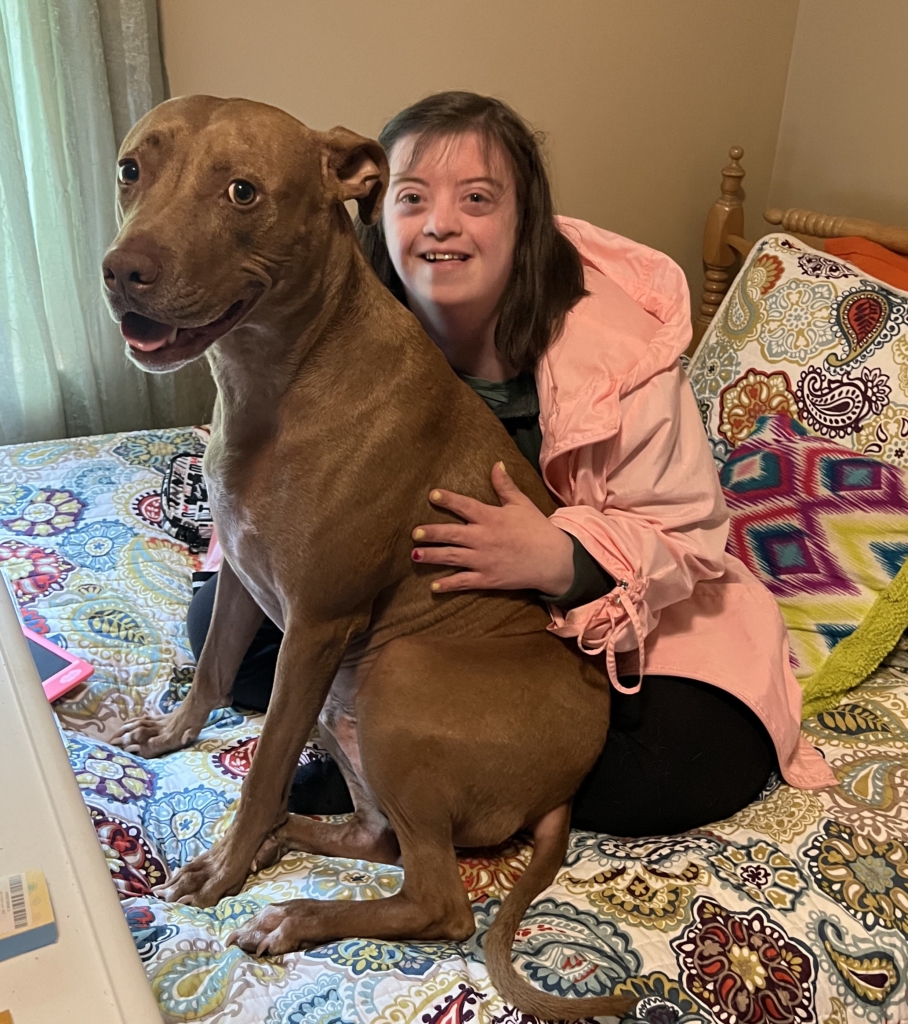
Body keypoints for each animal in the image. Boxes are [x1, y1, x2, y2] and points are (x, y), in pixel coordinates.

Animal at [104, 96, 630, 1024]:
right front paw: (171, 736)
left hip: (394, 674)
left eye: (242, 192)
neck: (281, 374)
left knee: (440, 900)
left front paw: (224, 870)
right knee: (376, 836)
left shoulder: (316, 624)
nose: (120, 271)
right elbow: (211, 673)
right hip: (344, 700)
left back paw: (291, 908)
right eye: (132, 168)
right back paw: (291, 844)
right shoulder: (243, 582)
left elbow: (262, 766)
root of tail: (567, 786)